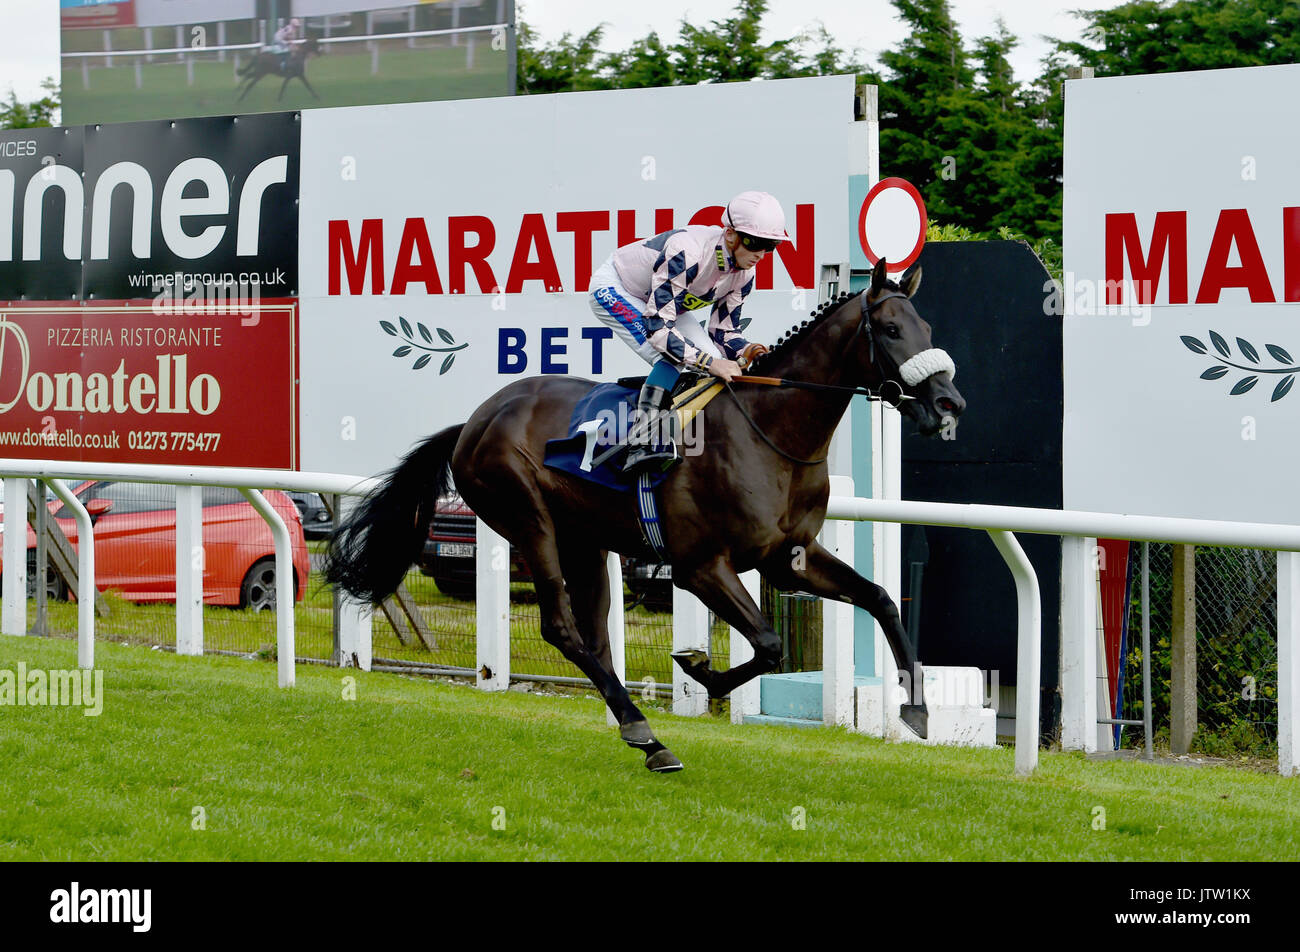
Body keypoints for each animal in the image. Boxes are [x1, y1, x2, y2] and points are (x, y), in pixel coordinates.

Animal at [330, 256, 967, 769]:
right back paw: (644, 730)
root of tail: (475, 420)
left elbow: (880, 599)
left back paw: (643, 734)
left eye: (928, 329)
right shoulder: (700, 567)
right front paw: (699, 668)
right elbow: (768, 643)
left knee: (594, 638)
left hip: (584, 540)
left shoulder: (791, 557)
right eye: (891, 329)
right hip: (527, 518)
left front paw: (916, 709)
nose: (948, 403)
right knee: (560, 626)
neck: (771, 434)